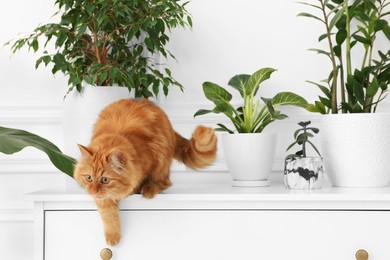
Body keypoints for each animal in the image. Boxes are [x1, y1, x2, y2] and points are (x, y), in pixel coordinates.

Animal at [73, 98, 216, 245]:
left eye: (105, 180)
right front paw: (112, 235)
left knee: (165, 182)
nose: (92, 191)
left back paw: (149, 189)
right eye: (89, 178)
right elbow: (108, 214)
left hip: (162, 160)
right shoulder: (103, 199)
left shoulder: (149, 161)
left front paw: (134, 190)